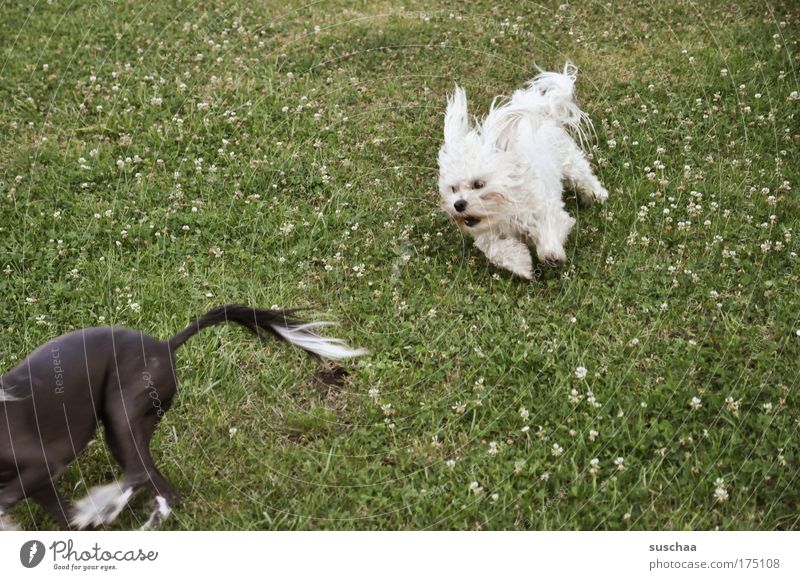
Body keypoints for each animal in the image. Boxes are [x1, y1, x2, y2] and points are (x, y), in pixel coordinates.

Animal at [438, 63, 608, 278]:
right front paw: (522, 265)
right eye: (452, 189)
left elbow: (550, 228)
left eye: (479, 184)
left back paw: (597, 195)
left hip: (569, 160)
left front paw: (551, 254)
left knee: (583, 177)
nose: (458, 204)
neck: (505, 208)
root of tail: (541, 106)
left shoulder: (547, 210)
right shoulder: (488, 234)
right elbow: (498, 250)